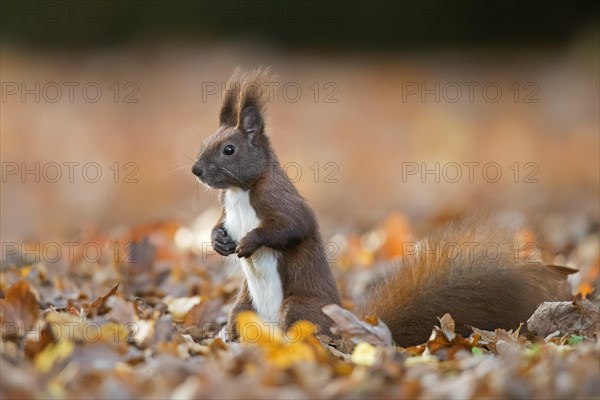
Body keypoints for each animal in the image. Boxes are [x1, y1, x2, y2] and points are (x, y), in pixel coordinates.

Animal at [195, 67, 576, 346]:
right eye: (204, 143)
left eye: (229, 150)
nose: (196, 170)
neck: (239, 193)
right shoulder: (229, 212)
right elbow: (220, 225)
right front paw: (220, 241)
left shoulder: (279, 201)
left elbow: (291, 226)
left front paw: (249, 242)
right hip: (243, 307)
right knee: (239, 318)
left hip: (298, 307)